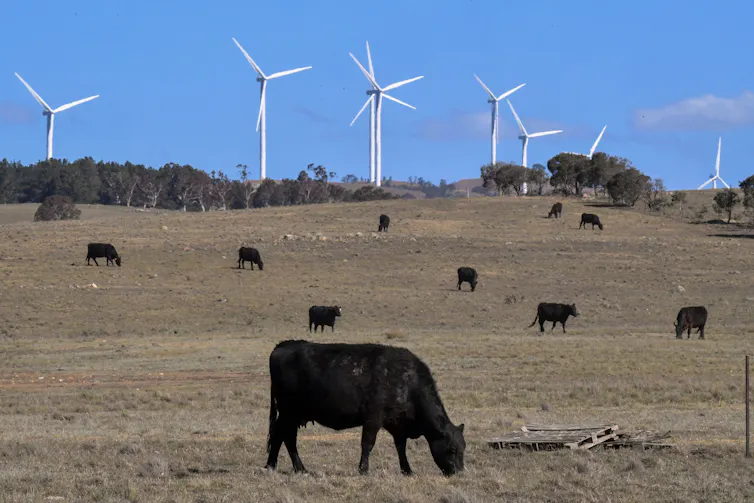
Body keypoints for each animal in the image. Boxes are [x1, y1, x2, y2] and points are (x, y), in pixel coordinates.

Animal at [264, 340, 466, 476]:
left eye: (464, 447)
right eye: (452, 449)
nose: (459, 472)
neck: (408, 382)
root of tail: (283, 345)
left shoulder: (397, 424)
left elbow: (400, 446)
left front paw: (407, 470)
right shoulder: (373, 418)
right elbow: (367, 443)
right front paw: (363, 469)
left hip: (294, 414)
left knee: (282, 436)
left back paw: (278, 466)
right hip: (288, 412)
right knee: (284, 436)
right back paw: (290, 467)